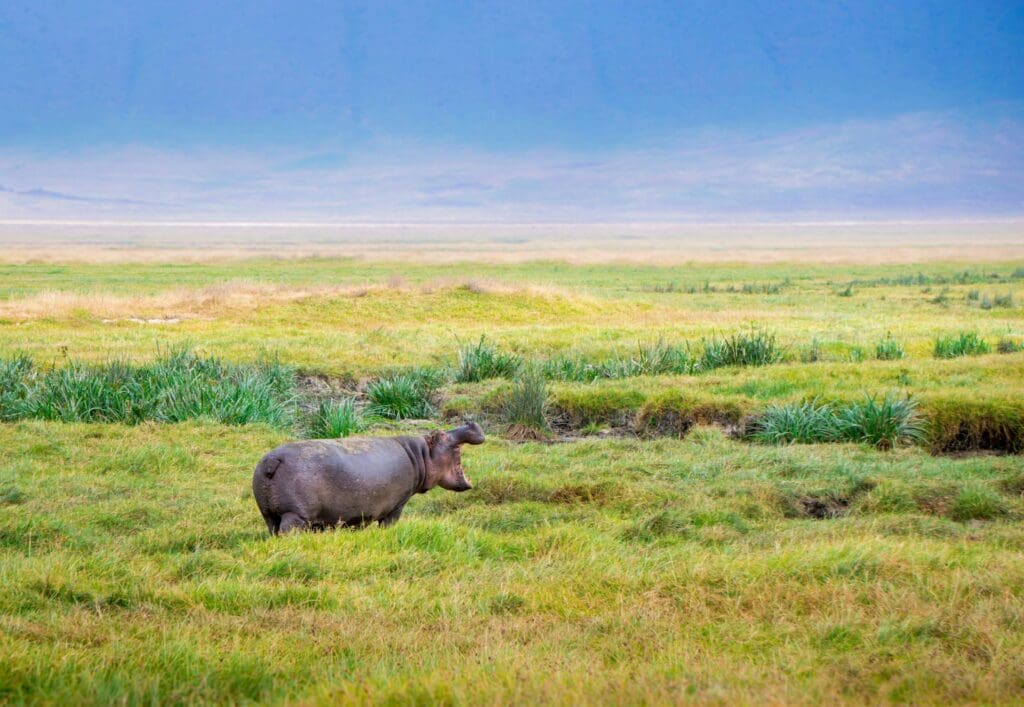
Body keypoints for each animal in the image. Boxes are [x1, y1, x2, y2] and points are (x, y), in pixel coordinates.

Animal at [252, 422, 485, 535]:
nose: (470, 422)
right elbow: (389, 524)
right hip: (295, 515)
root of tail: (273, 459)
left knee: (272, 528)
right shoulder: (397, 505)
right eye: (442, 435)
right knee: (288, 531)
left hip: (268, 514)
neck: (421, 454)